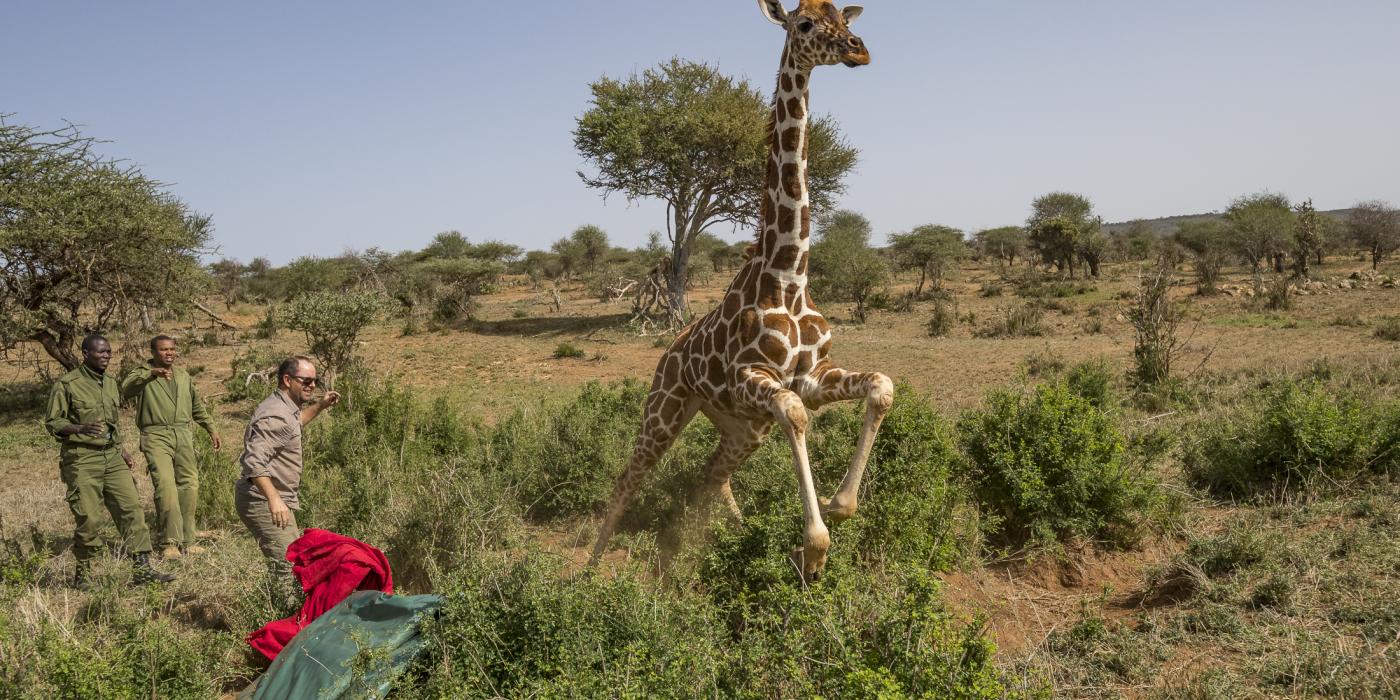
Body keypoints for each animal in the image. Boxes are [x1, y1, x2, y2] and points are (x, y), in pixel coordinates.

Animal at [585, 0, 890, 585]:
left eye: (844, 16)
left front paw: (838, 508)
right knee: (628, 476)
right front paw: (814, 547)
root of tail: (669, 350)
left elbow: (880, 387)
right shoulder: (759, 377)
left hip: (742, 426)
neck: (789, 275)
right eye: (805, 24)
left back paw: (717, 542)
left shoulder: (811, 376)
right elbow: (796, 413)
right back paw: (586, 571)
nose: (858, 49)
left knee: (711, 473)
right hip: (665, 408)